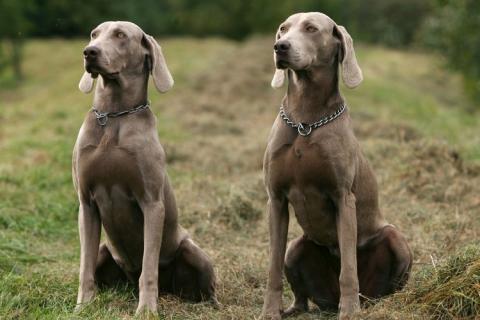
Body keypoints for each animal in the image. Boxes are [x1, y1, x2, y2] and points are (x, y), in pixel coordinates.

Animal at [73, 21, 218, 316]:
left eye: (120, 35)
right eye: (94, 34)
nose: (89, 51)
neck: (113, 116)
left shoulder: (152, 204)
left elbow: (149, 267)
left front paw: (147, 311)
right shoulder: (86, 203)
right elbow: (85, 267)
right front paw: (82, 307)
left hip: (194, 252)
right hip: (105, 250)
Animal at [262, 11, 412, 318]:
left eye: (311, 28)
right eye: (282, 29)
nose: (280, 47)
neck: (305, 120)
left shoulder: (343, 198)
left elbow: (349, 269)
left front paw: (350, 311)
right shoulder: (276, 199)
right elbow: (272, 266)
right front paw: (269, 311)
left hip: (395, 238)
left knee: (384, 283)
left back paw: (370, 303)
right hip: (296, 248)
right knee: (301, 295)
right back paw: (293, 308)